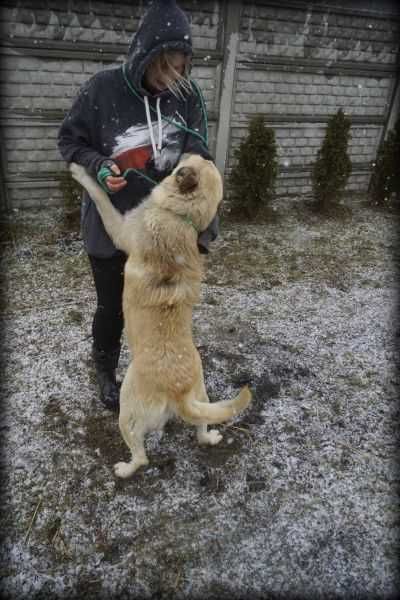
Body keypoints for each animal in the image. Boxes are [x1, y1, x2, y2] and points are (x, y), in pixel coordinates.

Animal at [69, 155, 250, 478]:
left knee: (141, 457)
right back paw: (211, 437)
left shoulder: (119, 227)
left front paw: (80, 172)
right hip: (202, 398)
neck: (179, 216)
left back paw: (124, 469)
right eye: (203, 158)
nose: (191, 154)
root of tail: (177, 391)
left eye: (193, 159)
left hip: (127, 412)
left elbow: (100, 194)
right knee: (202, 428)